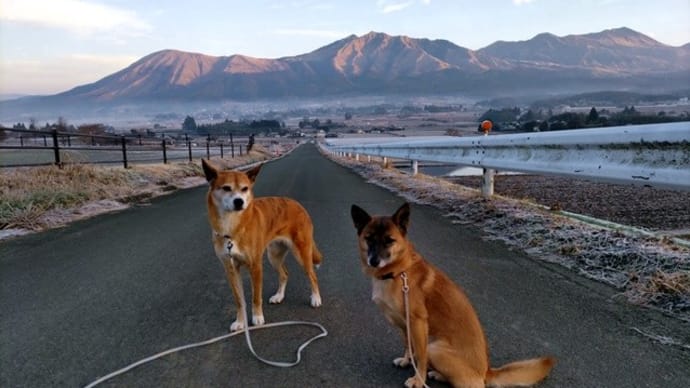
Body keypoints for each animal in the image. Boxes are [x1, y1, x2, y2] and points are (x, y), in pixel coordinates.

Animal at [203, 159, 324, 332]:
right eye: (226, 188)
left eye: (245, 188)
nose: (239, 201)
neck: (232, 228)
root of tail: (298, 205)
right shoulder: (230, 268)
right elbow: (239, 300)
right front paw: (240, 322)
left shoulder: (255, 266)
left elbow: (256, 297)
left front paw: (258, 317)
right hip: (273, 255)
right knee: (284, 274)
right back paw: (279, 296)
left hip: (302, 253)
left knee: (312, 275)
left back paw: (315, 298)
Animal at [350, 203, 552, 388]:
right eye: (369, 239)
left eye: (389, 240)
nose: (374, 261)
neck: (398, 272)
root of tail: (487, 371)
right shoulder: (404, 326)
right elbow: (408, 345)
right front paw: (407, 361)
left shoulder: (418, 324)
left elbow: (420, 357)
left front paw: (418, 380)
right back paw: (437, 374)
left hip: (434, 347)